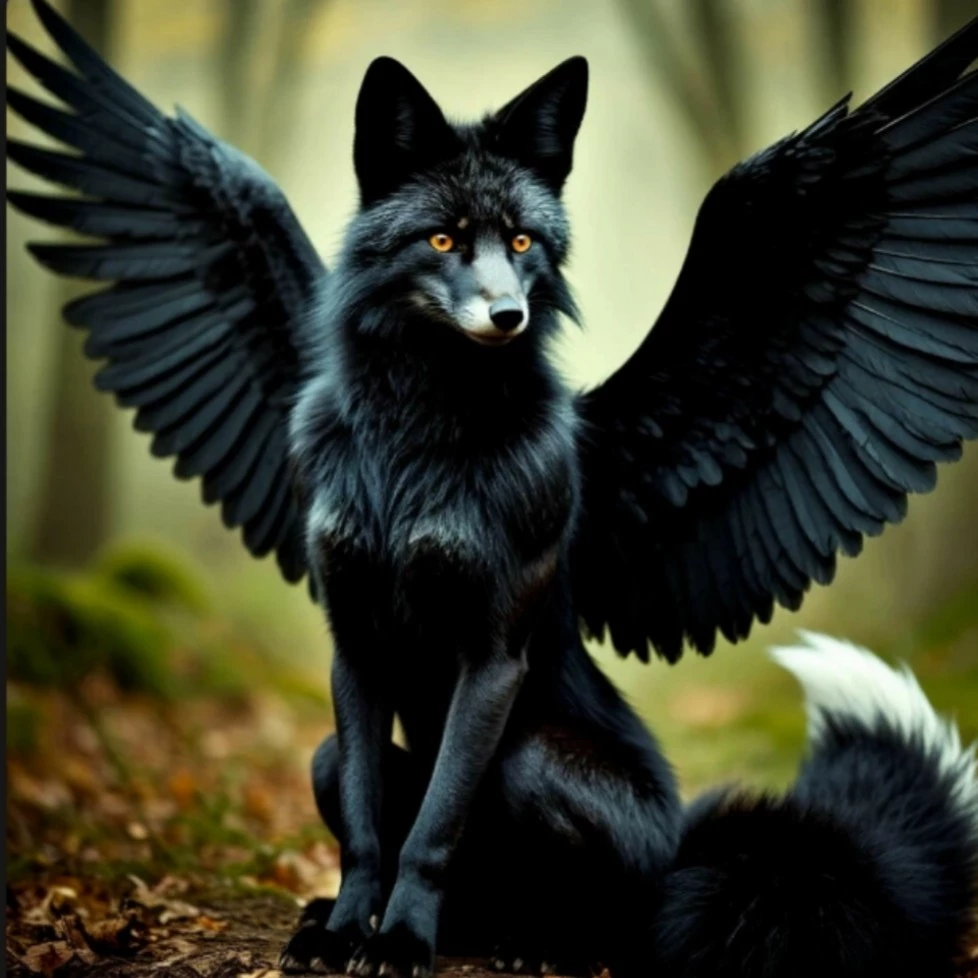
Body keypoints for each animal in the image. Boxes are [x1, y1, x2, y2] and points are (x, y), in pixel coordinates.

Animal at [7, 1, 978, 975]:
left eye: (521, 241)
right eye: (441, 238)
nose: (508, 315)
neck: (415, 441)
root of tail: (682, 853)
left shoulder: (492, 651)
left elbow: (435, 827)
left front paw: (399, 940)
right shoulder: (353, 641)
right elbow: (371, 829)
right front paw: (350, 929)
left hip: (543, 767)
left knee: (590, 907)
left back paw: (527, 945)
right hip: (326, 753)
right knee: (353, 788)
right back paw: (390, 924)